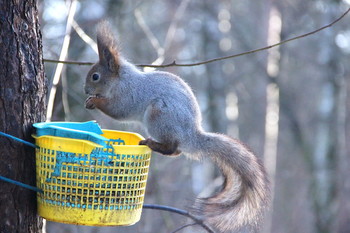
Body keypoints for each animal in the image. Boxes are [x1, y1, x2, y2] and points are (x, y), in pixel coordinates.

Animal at [83, 22, 270, 233]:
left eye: (95, 76)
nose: (86, 90)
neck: (122, 80)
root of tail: (191, 137)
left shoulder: (128, 96)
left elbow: (117, 109)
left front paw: (95, 101)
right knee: (177, 151)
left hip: (158, 116)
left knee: (172, 148)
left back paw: (152, 143)